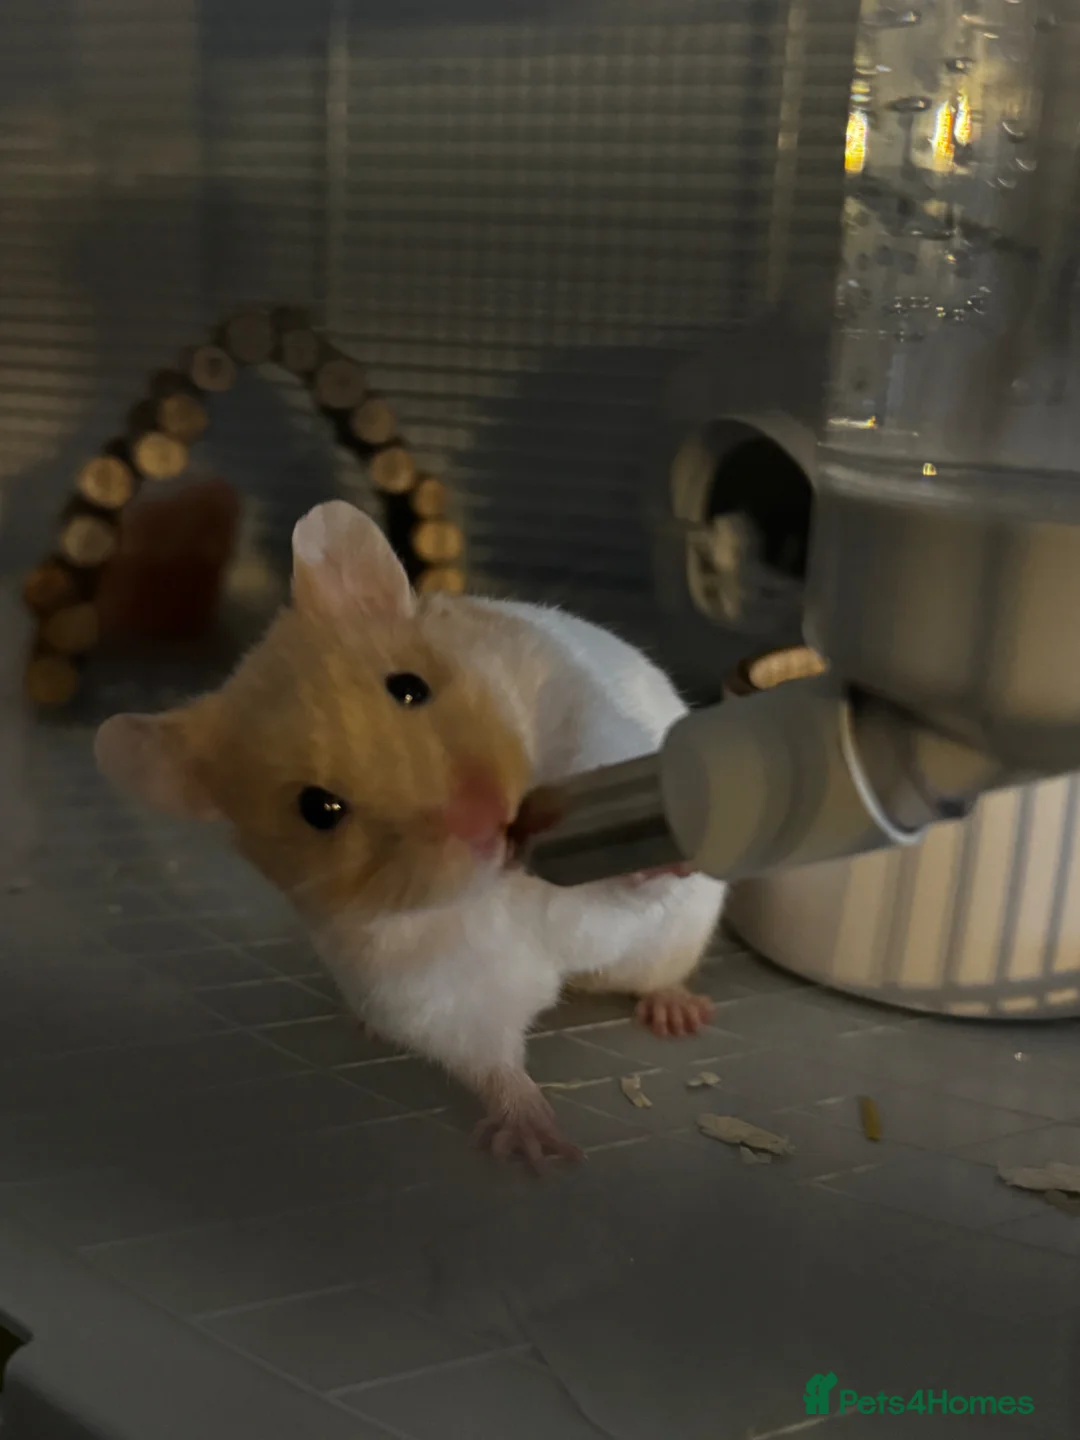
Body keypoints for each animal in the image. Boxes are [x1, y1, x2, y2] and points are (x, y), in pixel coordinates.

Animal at [95, 501, 727, 1170]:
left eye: (409, 687)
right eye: (318, 809)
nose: (483, 820)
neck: (499, 880)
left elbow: (620, 885)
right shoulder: (426, 989)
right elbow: (492, 1063)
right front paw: (537, 1152)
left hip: (666, 947)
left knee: (658, 975)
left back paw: (681, 1015)